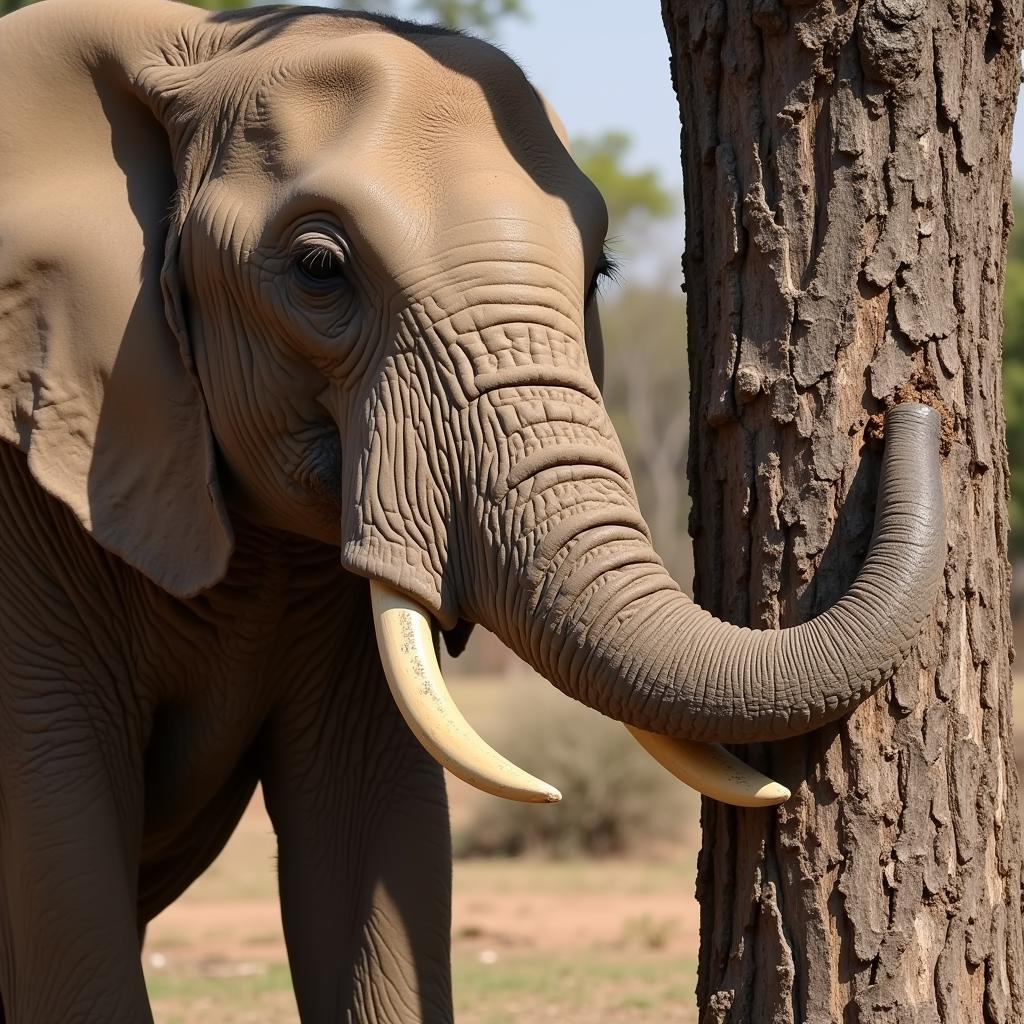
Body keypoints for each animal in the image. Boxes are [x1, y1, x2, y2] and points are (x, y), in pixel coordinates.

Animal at [0, 2, 942, 1024]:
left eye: (601, 270)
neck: (195, 44)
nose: (912, 409)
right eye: (319, 268)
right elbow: (57, 841)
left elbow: (376, 820)